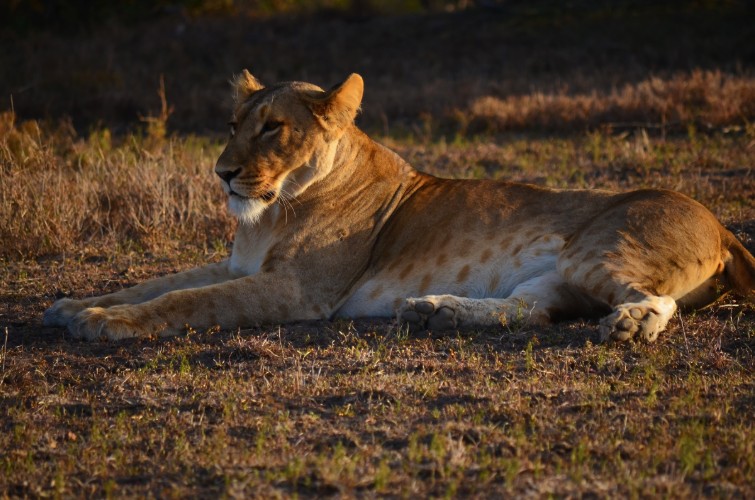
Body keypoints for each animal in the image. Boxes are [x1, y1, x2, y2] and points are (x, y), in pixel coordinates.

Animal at [43, 71, 755, 342]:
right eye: (232, 123)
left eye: (273, 128)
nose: (222, 174)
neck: (271, 213)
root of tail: (722, 224)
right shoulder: (237, 265)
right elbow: (158, 281)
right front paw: (73, 306)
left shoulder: (298, 291)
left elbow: (187, 301)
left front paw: (106, 322)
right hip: (557, 274)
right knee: (530, 311)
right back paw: (433, 310)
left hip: (596, 250)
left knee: (651, 300)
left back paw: (630, 325)